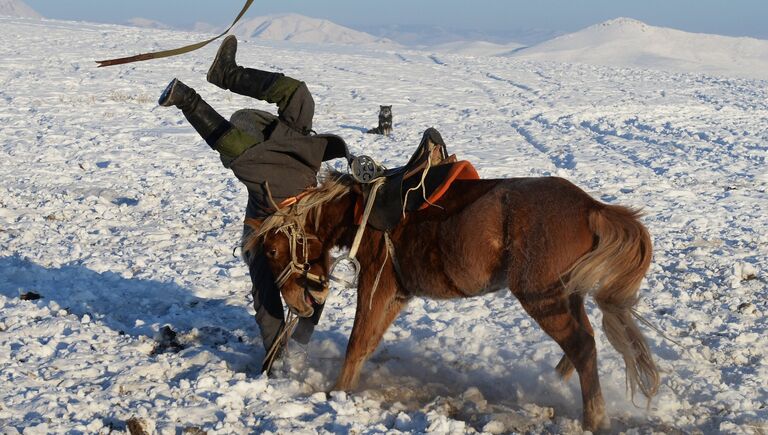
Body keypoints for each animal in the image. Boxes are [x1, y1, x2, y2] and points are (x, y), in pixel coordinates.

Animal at [246, 171, 660, 432]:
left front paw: (338, 392)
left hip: (543, 298)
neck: (361, 213)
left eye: (271, 249)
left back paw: (594, 419)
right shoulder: (397, 293)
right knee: (581, 343)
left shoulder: (377, 283)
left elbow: (357, 342)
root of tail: (592, 207)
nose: (301, 303)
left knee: (582, 345)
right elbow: (368, 342)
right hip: (565, 295)